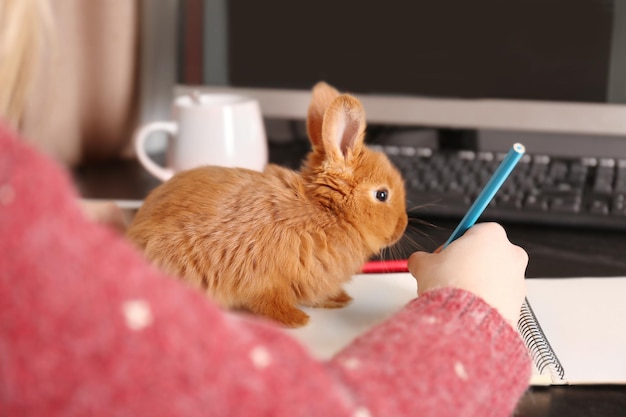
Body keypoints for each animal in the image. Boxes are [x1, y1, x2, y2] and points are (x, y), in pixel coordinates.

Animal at [127, 81, 410, 326]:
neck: (326, 212)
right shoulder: (265, 280)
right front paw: (297, 320)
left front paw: (340, 299)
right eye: (382, 195)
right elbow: (270, 302)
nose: (402, 226)